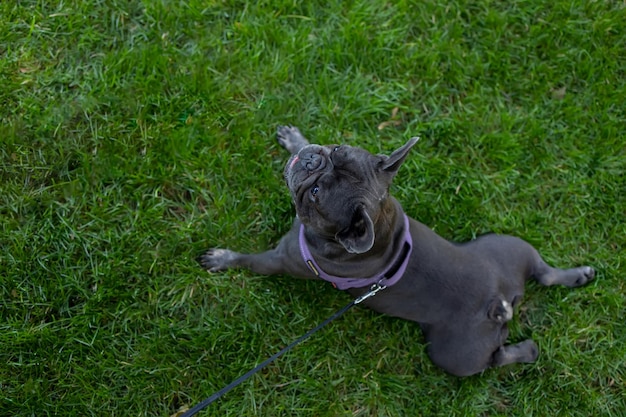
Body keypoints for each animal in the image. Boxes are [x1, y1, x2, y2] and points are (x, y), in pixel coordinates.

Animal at [197, 125, 592, 376]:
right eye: (336, 149)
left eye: (316, 195)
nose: (313, 162)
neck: (380, 220)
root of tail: (500, 302)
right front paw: (296, 140)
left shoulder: (280, 260)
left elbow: (249, 260)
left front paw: (221, 259)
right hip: (506, 245)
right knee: (545, 271)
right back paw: (579, 276)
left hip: (452, 356)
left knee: (495, 360)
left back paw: (527, 350)